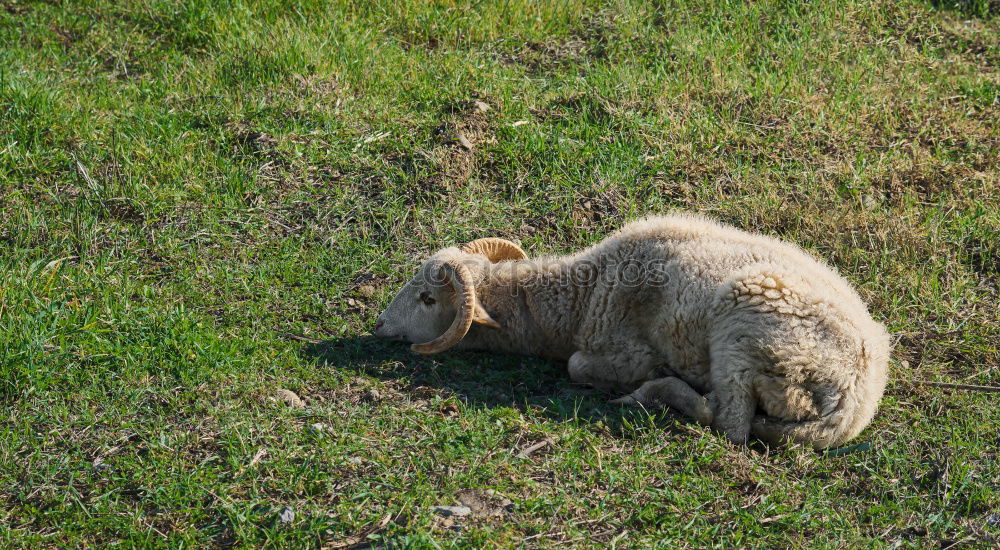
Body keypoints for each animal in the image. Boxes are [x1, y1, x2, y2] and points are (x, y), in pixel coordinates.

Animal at [376, 213, 892, 450]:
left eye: (428, 299)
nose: (379, 325)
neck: (578, 299)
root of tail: (855, 400)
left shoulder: (625, 351)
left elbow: (576, 366)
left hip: (745, 328)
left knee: (728, 423)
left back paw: (653, 393)